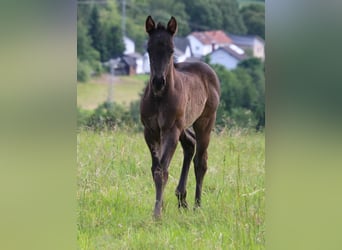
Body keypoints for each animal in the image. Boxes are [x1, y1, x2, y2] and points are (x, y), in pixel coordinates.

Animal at [140, 16, 220, 219]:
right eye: (149, 49)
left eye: (171, 50)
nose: (158, 82)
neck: (160, 97)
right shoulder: (150, 131)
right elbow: (155, 169)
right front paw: (158, 208)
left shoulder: (170, 130)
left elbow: (162, 170)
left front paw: (157, 214)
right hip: (183, 125)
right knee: (190, 144)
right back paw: (181, 198)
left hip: (204, 121)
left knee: (200, 161)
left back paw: (197, 205)